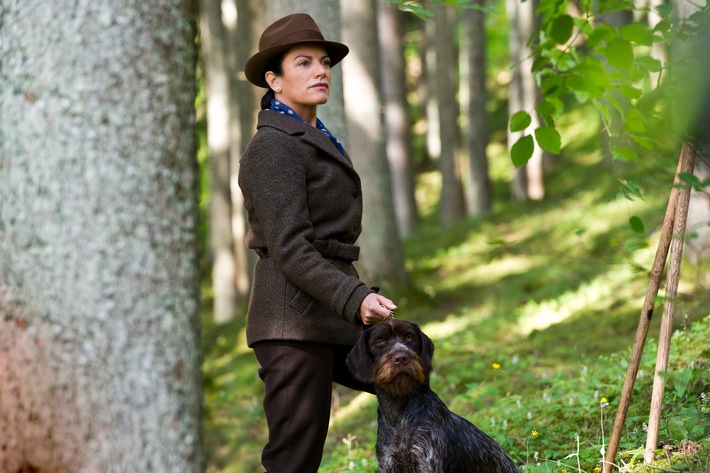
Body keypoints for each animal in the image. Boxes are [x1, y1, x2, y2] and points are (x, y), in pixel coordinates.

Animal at [348, 318, 520, 472]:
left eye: (409, 337)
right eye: (379, 341)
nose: (402, 357)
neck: (399, 412)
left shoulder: (426, 461)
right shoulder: (388, 463)